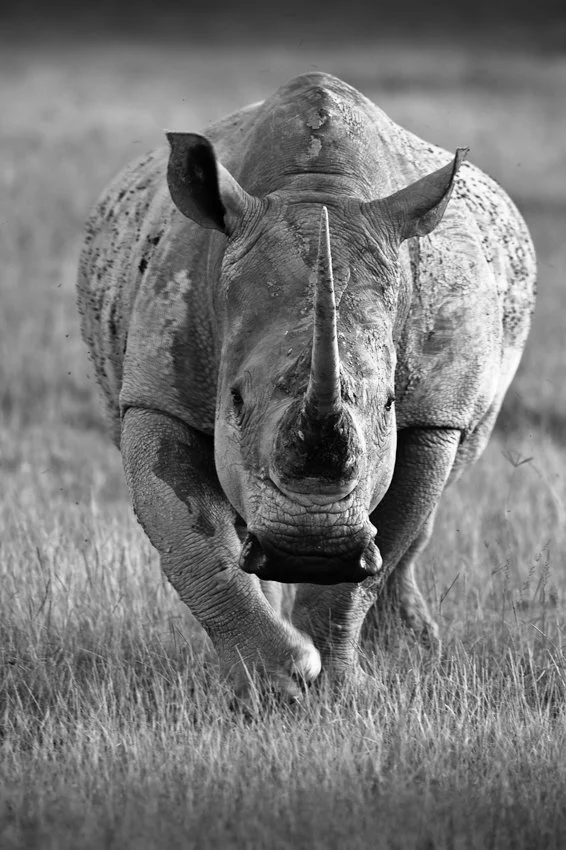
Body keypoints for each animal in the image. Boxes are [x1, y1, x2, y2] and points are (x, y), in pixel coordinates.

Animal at [77, 72, 536, 699]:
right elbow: (188, 535)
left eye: (389, 403)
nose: (311, 548)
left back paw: (409, 651)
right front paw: (277, 683)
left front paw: (342, 688)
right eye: (234, 400)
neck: (316, 189)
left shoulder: (434, 415)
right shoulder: (157, 392)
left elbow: (379, 551)